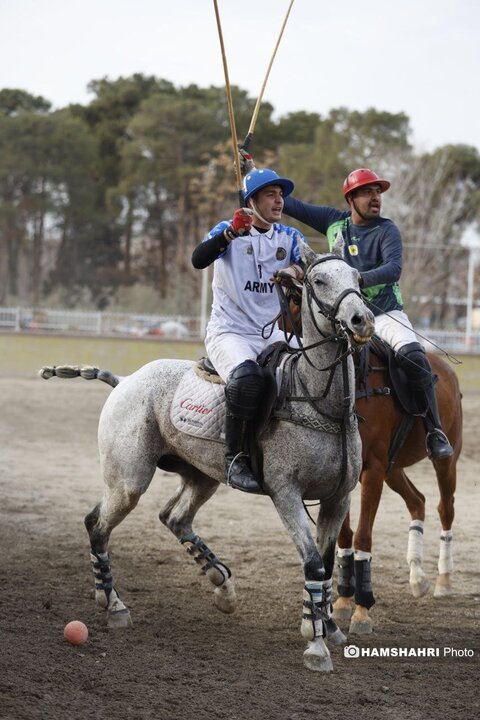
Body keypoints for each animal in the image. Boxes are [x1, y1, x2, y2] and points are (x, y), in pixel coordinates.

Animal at [42, 240, 376, 668]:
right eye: (318, 281)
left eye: (358, 278)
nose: (362, 320)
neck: (321, 403)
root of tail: (125, 380)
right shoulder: (286, 493)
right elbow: (313, 562)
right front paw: (315, 642)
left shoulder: (339, 498)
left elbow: (327, 563)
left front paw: (329, 627)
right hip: (128, 480)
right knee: (97, 524)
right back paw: (114, 604)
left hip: (202, 475)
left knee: (174, 516)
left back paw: (222, 585)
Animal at [332, 352, 464, 632]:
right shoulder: (342, 473)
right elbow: (343, 534)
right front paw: (344, 601)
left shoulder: (373, 468)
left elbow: (362, 536)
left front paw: (362, 611)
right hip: (393, 468)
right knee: (418, 501)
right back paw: (417, 577)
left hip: (447, 460)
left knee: (445, 509)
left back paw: (444, 580)